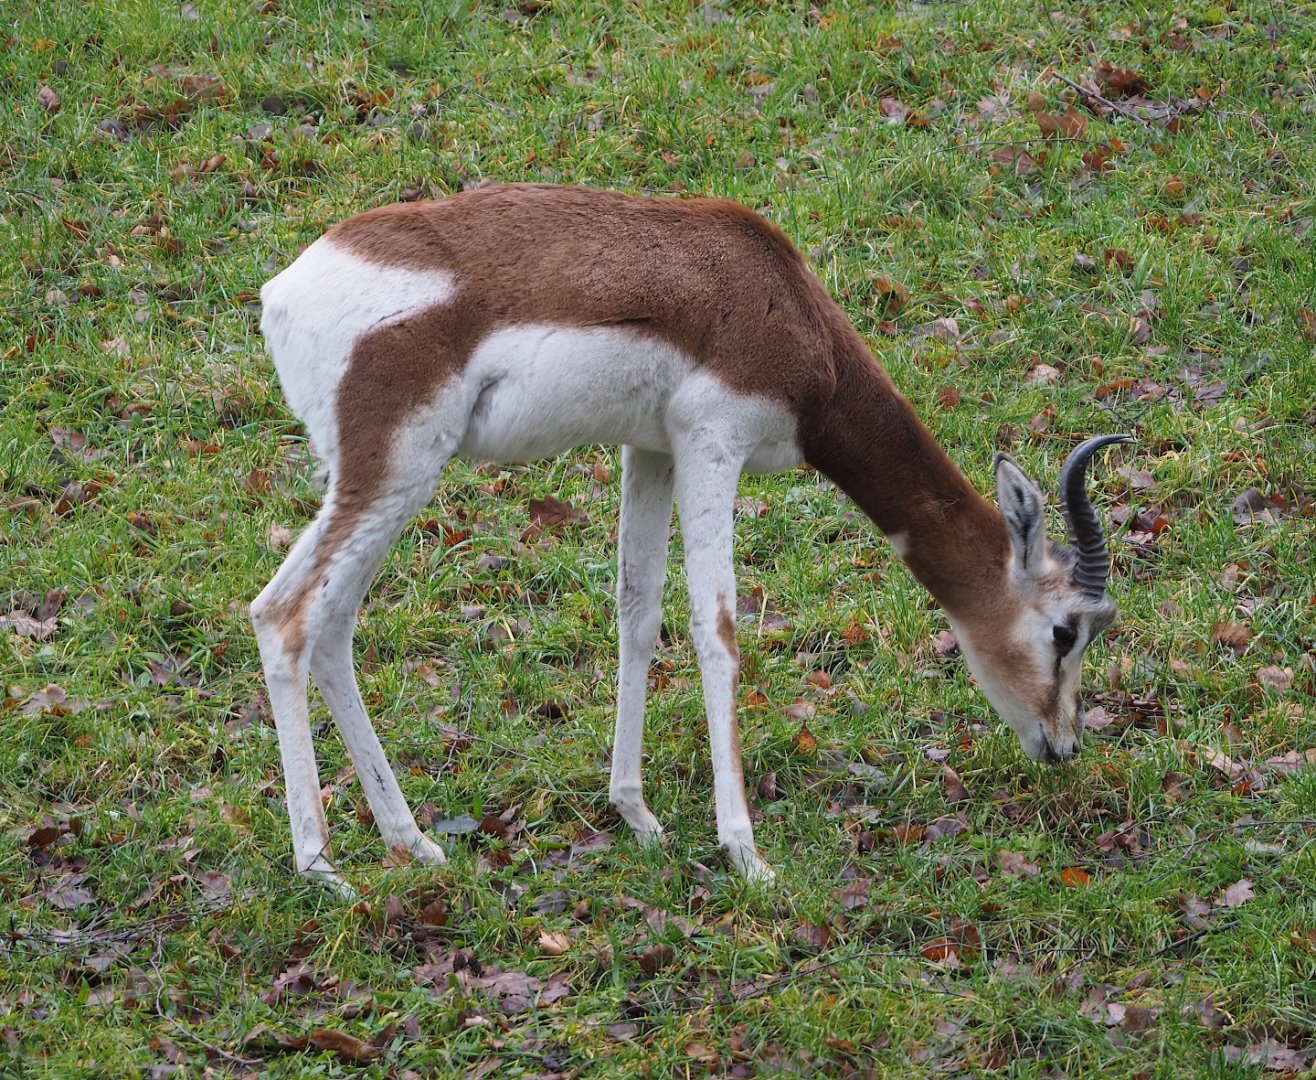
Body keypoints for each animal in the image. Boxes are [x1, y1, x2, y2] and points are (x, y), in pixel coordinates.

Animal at [253, 183, 1129, 889]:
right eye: (1065, 631)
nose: (1063, 743)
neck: (779, 303)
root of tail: (284, 290)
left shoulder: (651, 449)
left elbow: (637, 612)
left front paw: (634, 813)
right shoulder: (714, 442)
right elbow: (718, 629)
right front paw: (746, 852)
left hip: (378, 482)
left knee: (329, 624)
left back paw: (412, 842)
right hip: (396, 472)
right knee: (284, 616)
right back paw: (321, 867)